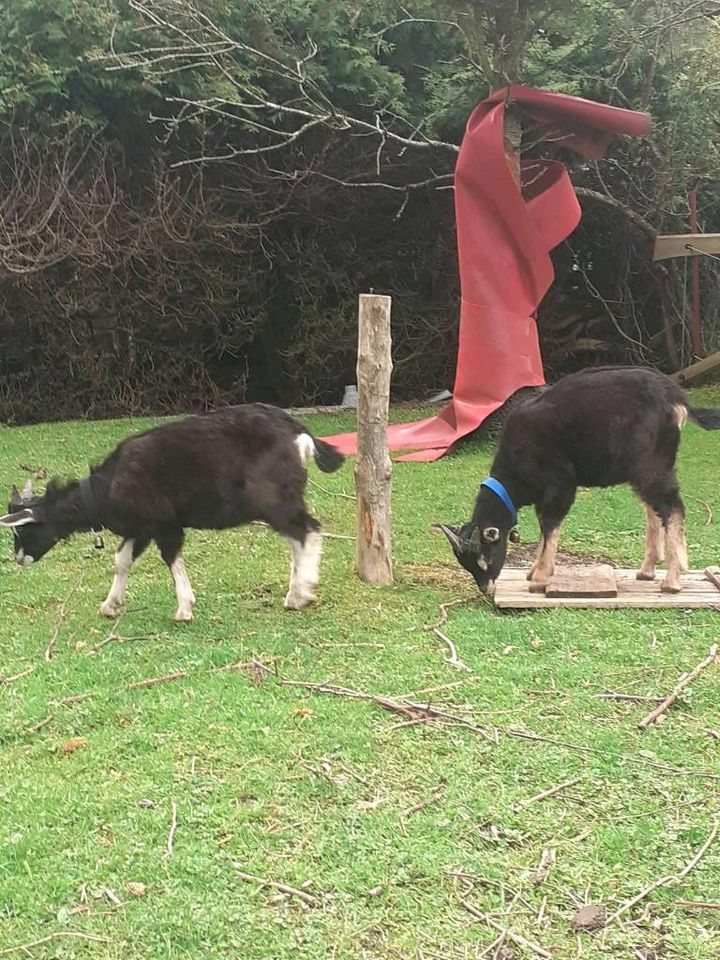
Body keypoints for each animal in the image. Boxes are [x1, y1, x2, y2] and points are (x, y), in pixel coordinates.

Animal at [0, 402, 344, 620]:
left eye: (24, 528)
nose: (19, 558)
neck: (106, 488)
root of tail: (299, 432)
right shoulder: (140, 528)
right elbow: (121, 561)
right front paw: (110, 605)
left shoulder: (164, 523)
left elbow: (171, 557)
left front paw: (184, 608)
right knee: (296, 536)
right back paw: (295, 592)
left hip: (271, 498)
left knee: (307, 529)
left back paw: (301, 594)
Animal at [434, 366, 720, 592]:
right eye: (466, 564)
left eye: (486, 559)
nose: (486, 589)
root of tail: (675, 396)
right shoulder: (546, 493)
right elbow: (544, 528)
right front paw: (534, 570)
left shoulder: (560, 484)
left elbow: (549, 526)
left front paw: (540, 578)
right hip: (643, 468)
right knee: (655, 508)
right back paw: (648, 570)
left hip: (651, 464)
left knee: (672, 508)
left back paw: (672, 579)